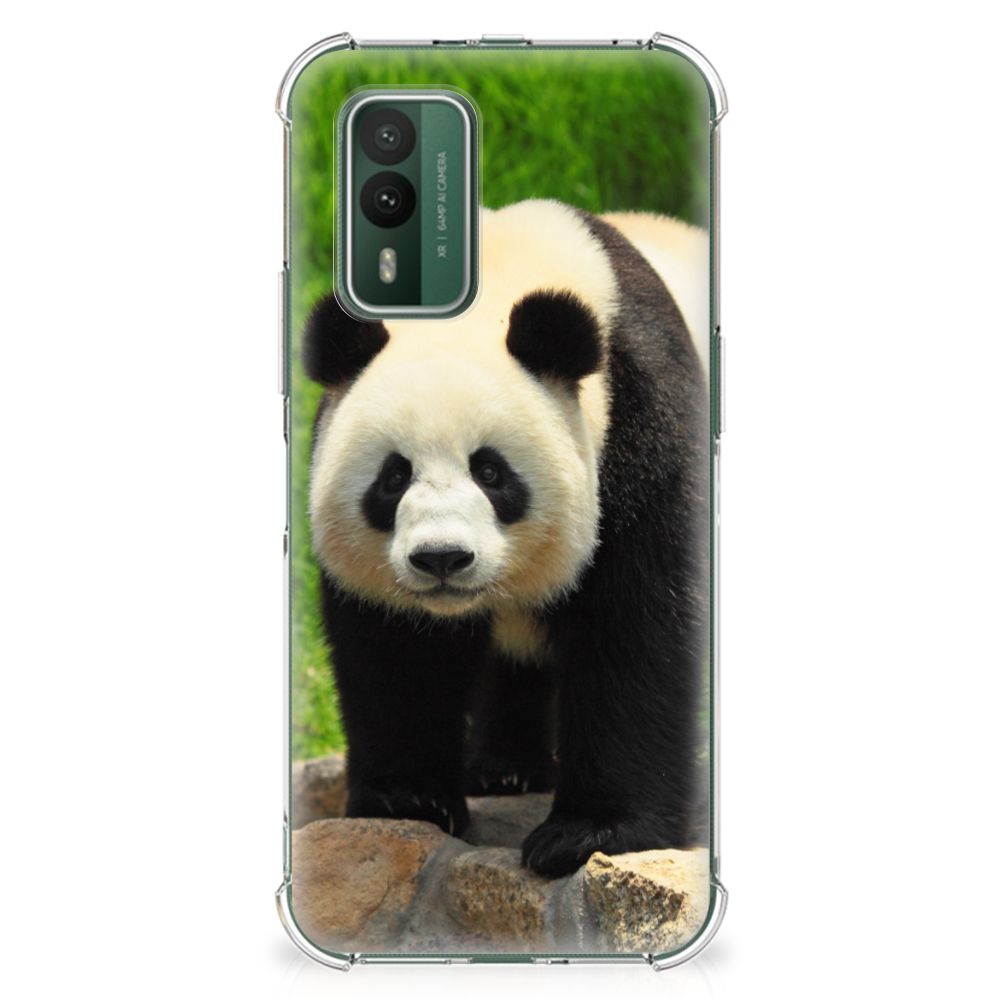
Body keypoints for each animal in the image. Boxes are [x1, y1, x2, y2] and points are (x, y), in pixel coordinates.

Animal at [303, 199, 709, 877]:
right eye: (393, 477)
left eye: (491, 472)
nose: (442, 558)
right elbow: (396, 650)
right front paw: (408, 799)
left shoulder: (643, 424)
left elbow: (635, 626)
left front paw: (589, 833)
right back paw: (504, 769)